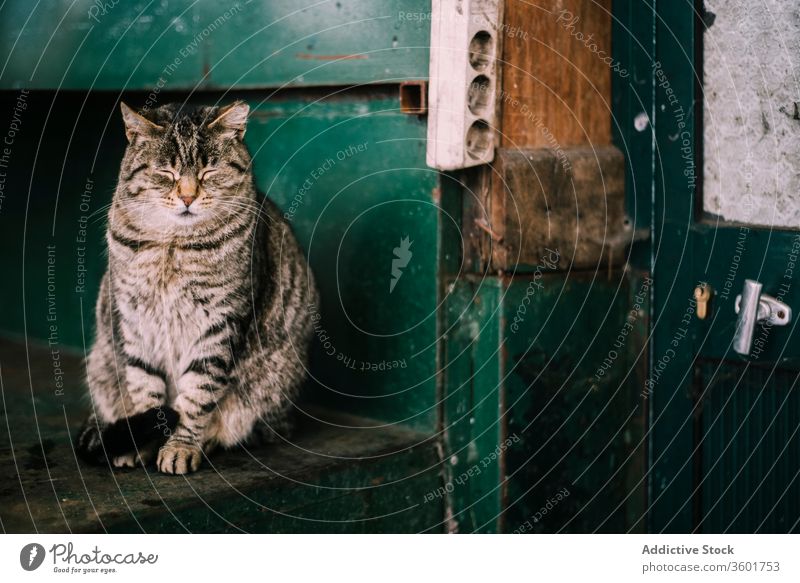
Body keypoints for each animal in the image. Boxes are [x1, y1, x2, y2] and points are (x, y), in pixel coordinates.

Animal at [75, 100, 318, 474]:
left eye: (208, 172)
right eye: (166, 173)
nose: (188, 197)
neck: (172, 243)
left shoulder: (219, 321)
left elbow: (196, 395)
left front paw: (179, 447)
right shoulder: (135, 318)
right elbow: (144, 387)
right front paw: (142, 443)